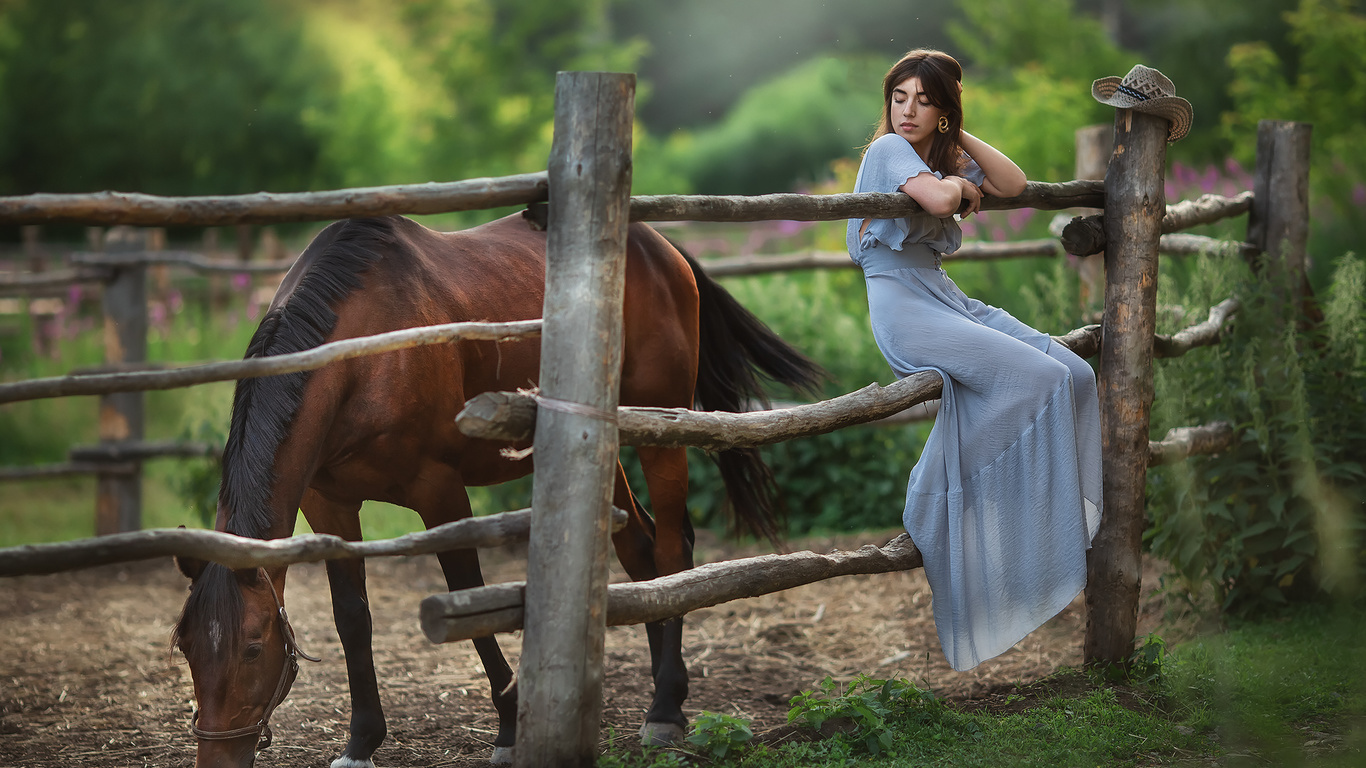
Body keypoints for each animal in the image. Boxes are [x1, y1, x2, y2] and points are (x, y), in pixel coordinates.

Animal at [165, 210, 814, 765]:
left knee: (675, 552)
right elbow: (353, 617)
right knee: (642, 552)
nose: (217, 756)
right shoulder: (329, 504)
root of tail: (662, 247)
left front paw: (507, 727)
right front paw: (361, 741)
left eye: (253, 648)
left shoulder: (440, 491)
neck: (364, 351)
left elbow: (468, 592)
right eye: (187, 647)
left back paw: (665, 709)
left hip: (662, 430)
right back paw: (657, 693)